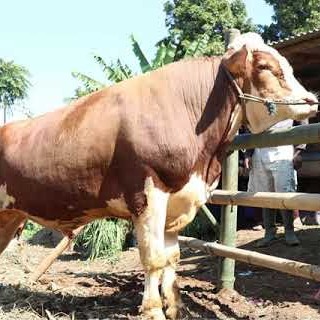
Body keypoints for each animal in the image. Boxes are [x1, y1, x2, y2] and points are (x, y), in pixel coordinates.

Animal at [0, 33, 318, 318]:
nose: (311, 100)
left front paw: (175, 306)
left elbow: (171, 257)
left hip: (10, 214)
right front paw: (153, 309)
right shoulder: (148, 194)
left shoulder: (179, 201)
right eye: (265, 66)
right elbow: (153, 259)